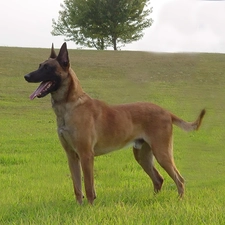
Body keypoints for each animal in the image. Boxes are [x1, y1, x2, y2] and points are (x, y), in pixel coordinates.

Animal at [24, 42, 206, 204]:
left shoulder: (86, 155)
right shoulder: (71, 156)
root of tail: (167, 111)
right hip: (143, 155)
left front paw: (89, 209)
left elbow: (88, 187)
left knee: (179, 179)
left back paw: (179, 201)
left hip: (162, 153)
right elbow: (77, 188)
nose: (26, 76)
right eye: (40, 65)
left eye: (47, 68)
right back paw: (153, 200)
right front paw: (79, 206)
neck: (70, 105)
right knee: (158, 179)